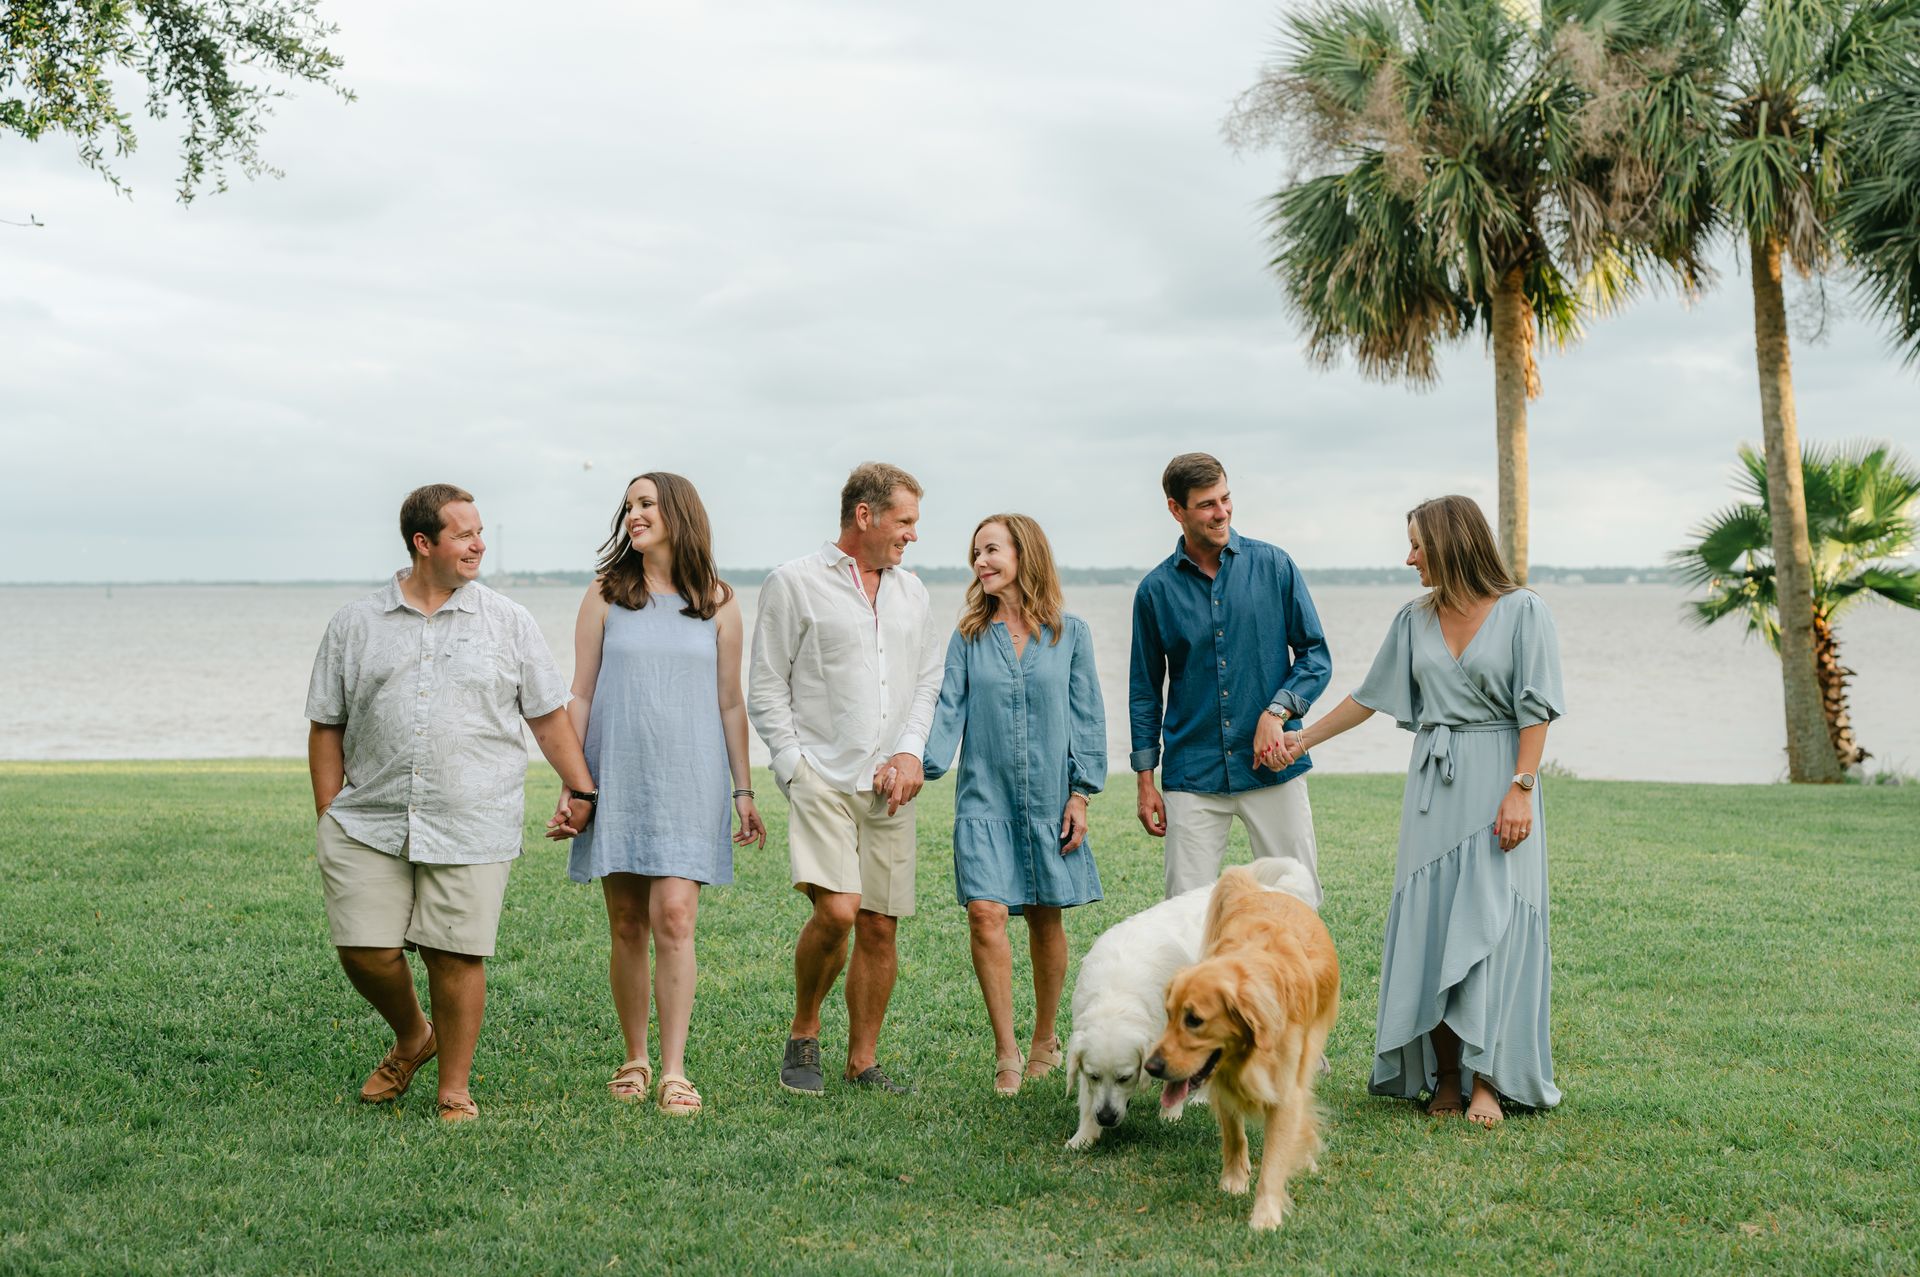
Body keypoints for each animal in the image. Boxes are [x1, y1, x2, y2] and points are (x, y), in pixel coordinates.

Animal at [1067, 856, 1320, 1144]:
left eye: (1125, 1078)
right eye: (1094, 1076)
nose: (1106, 1117)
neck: (1117, 992)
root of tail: (1272, 889)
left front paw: (1170, 1116)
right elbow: (1087, 1097)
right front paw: (1083, 1137)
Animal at [1136, 860, 1336, 1228]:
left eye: (1194, 1020)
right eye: (1168, 1014)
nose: (1152, 1067)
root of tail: (1259, 890)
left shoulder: (1285, 1091)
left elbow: (1275, 1157)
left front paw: (1265, 1215)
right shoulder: (1221, 1080)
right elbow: (1233, 1133)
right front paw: (1234, 1180)